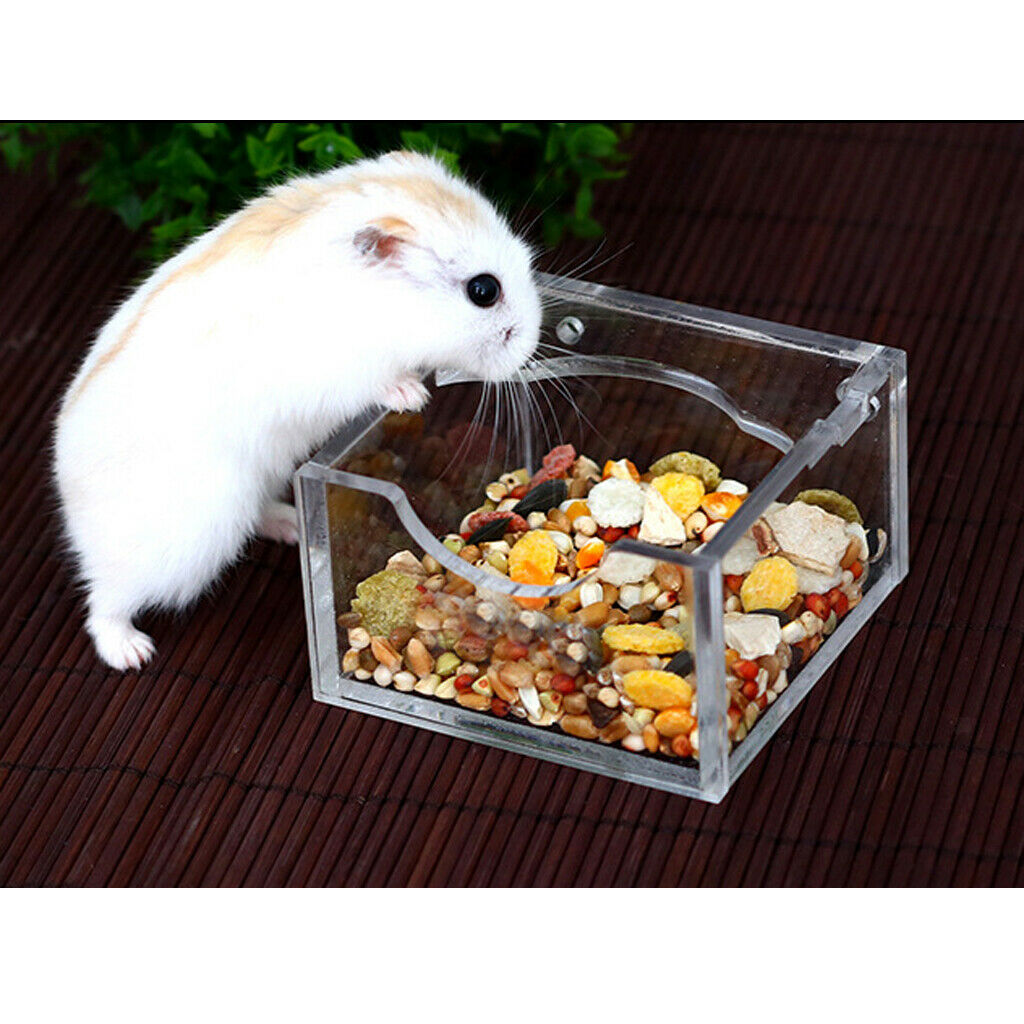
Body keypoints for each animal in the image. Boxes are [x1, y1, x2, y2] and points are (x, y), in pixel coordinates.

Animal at [54, 150, 542, 671]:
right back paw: (132, 653)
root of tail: (69, 498)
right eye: (484, 290)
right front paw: (414, 395)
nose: (532, 344)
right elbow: (379, 383)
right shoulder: (342, 371)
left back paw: (290, 526)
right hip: (179, 549)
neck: (387, 307)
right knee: (104, 603)